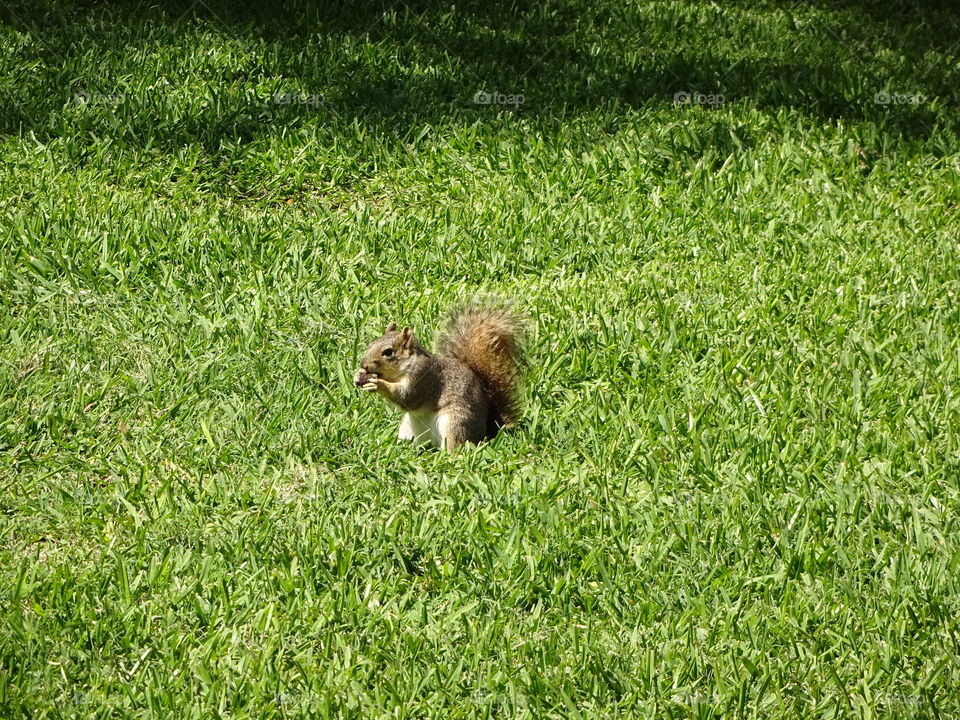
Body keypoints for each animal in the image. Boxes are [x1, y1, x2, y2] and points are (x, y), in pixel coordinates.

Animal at [352, 302, 524, 450]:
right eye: (371, 343)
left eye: (388, 352)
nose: (363, 365)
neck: (401, 370)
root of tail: (488, 427)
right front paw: (357, 376)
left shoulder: (423, 378)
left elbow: (406, 397)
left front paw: (378, 384)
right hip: (408, 428)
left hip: (455, 423)